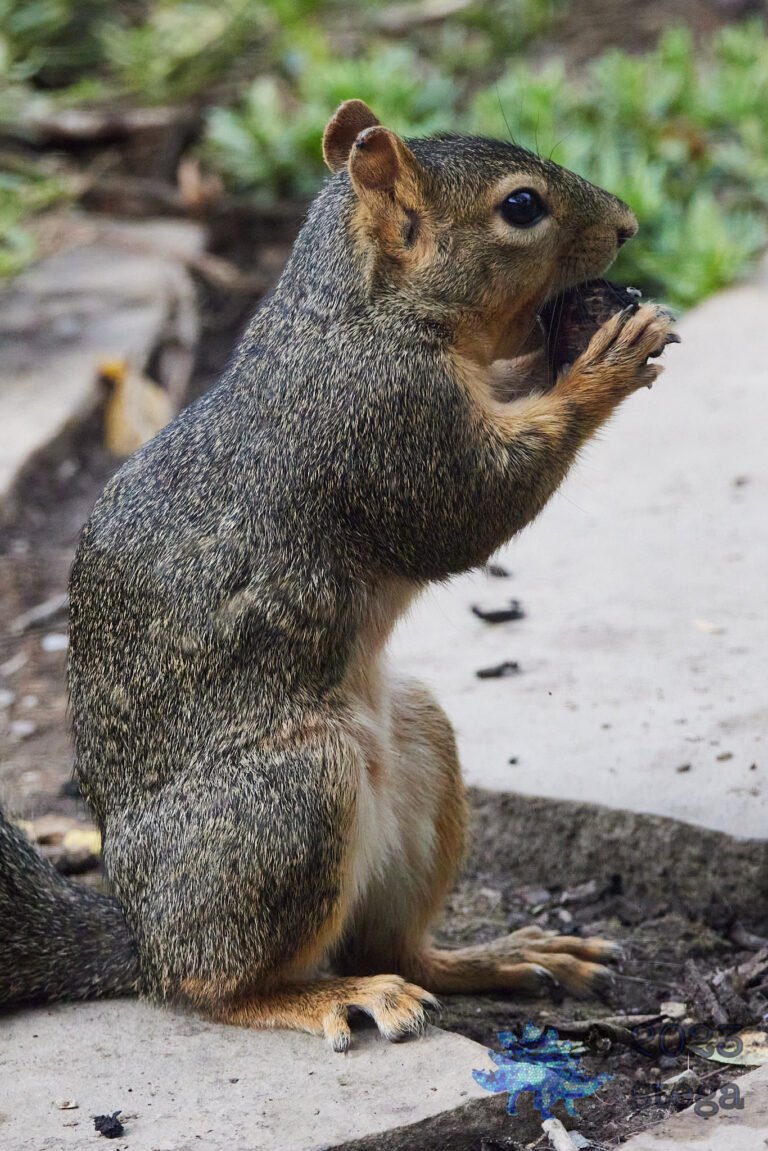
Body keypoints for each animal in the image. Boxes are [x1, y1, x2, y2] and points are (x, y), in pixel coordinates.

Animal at [0, 100, 677, 1049]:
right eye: (521, 207)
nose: (627, 225)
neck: (359, 312)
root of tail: (142, 935)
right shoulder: (386, 422)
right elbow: (469, 510)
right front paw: (603, 362)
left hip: (422, 746)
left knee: (394, 942)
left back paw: (500, 955)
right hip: (295, 798)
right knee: (219, 986)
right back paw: (331, 995)